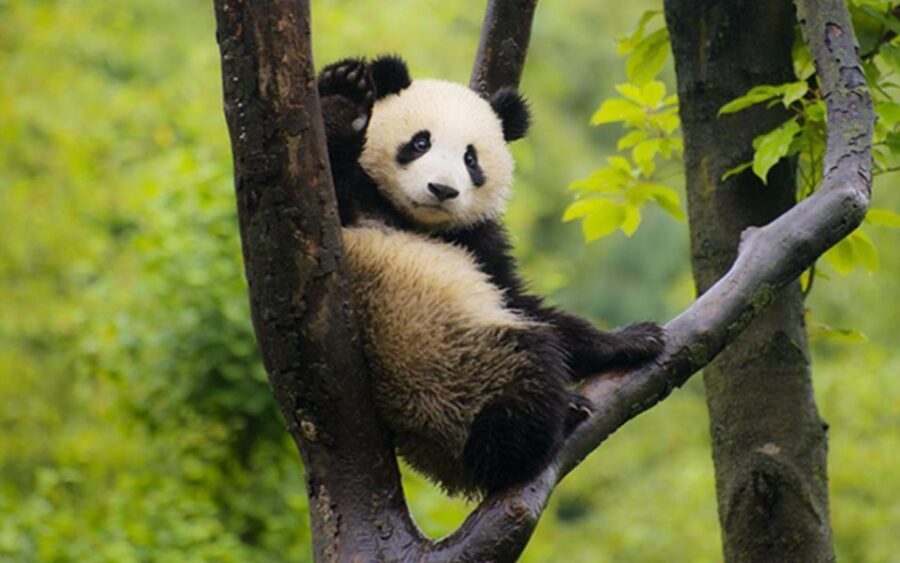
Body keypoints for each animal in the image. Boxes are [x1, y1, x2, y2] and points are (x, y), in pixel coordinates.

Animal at [316, 55, 664, 497]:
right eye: (420, 143)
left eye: (471, 159)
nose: (442, 189)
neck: (414, 220)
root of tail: (450, 469)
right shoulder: (349, 205)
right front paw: (344, 94)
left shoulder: (479, 244)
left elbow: (519, 300)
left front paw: (632, 339)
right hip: (461, 370)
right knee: (529, 371)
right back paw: (550, 428)